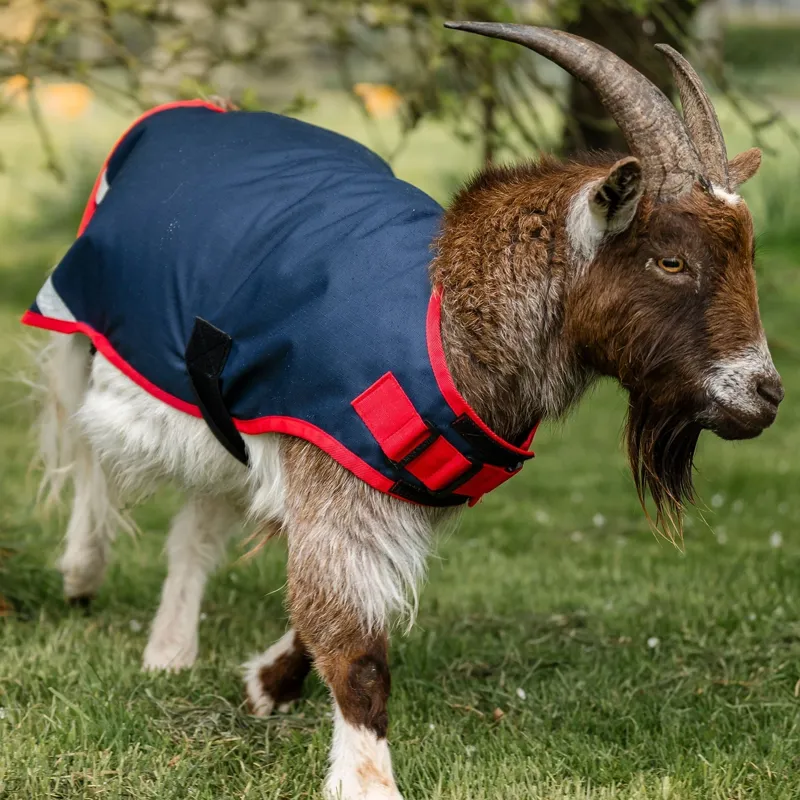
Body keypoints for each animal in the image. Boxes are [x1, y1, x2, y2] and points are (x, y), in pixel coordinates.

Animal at [25, 23, 782, 800]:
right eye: (670, 261)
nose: (765, 395)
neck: (449, 316)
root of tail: (185, 112)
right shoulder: (333, 468)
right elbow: (354, 642)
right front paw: (367, 781)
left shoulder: (372, 481)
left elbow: (335, 604)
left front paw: (267, 685)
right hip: (84, 321)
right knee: (82, 440)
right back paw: (82, 570)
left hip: (223, 412)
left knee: (197, 524)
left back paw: (170, 649)